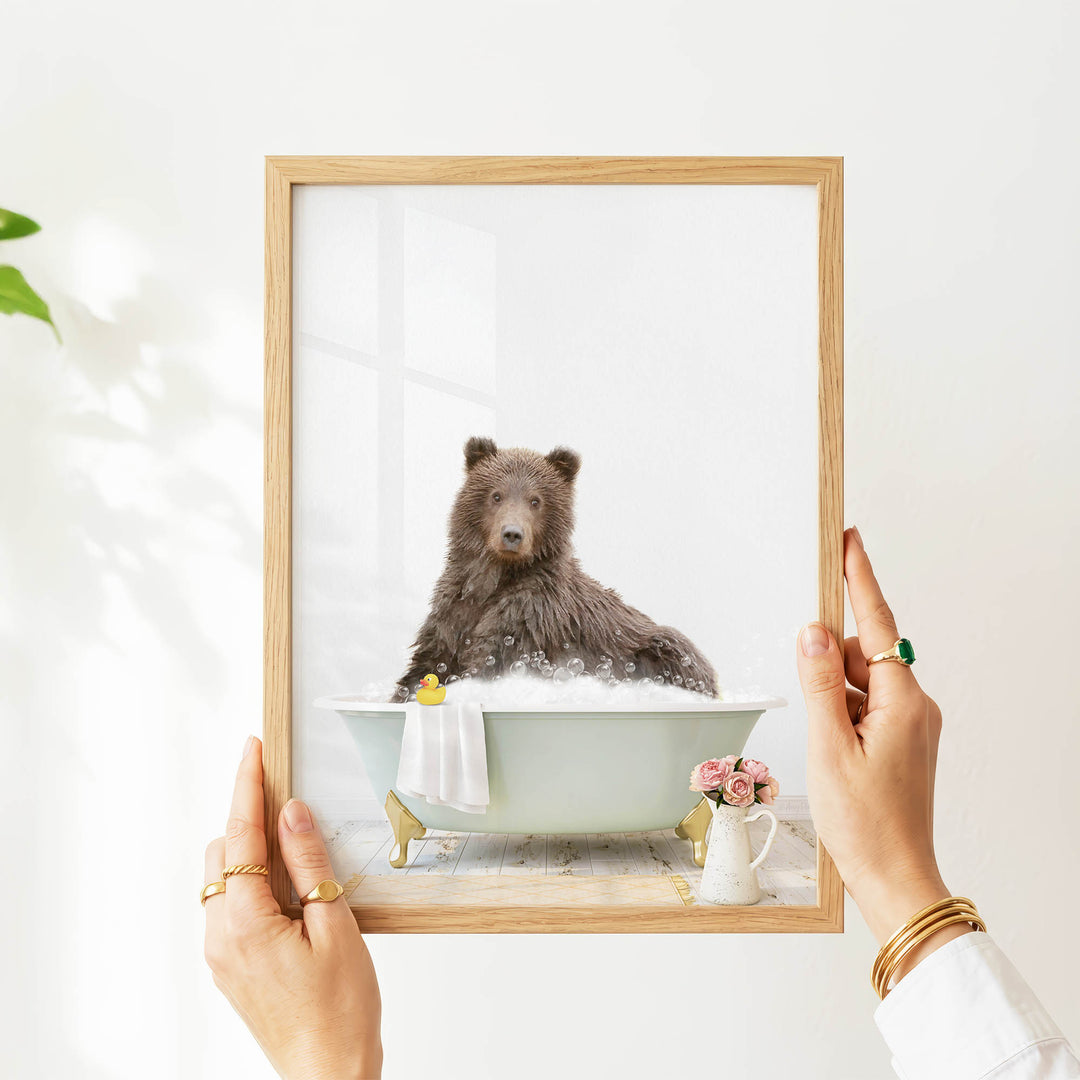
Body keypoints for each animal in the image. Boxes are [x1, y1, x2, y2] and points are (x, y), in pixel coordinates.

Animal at [394, 436, 718, 700]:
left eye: (535, 500)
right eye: (496, 495)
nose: (512, 534)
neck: (496, 578)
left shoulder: (531, 616)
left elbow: (490, 659)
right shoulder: (453, 611)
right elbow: (428, 663)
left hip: (659, 649)